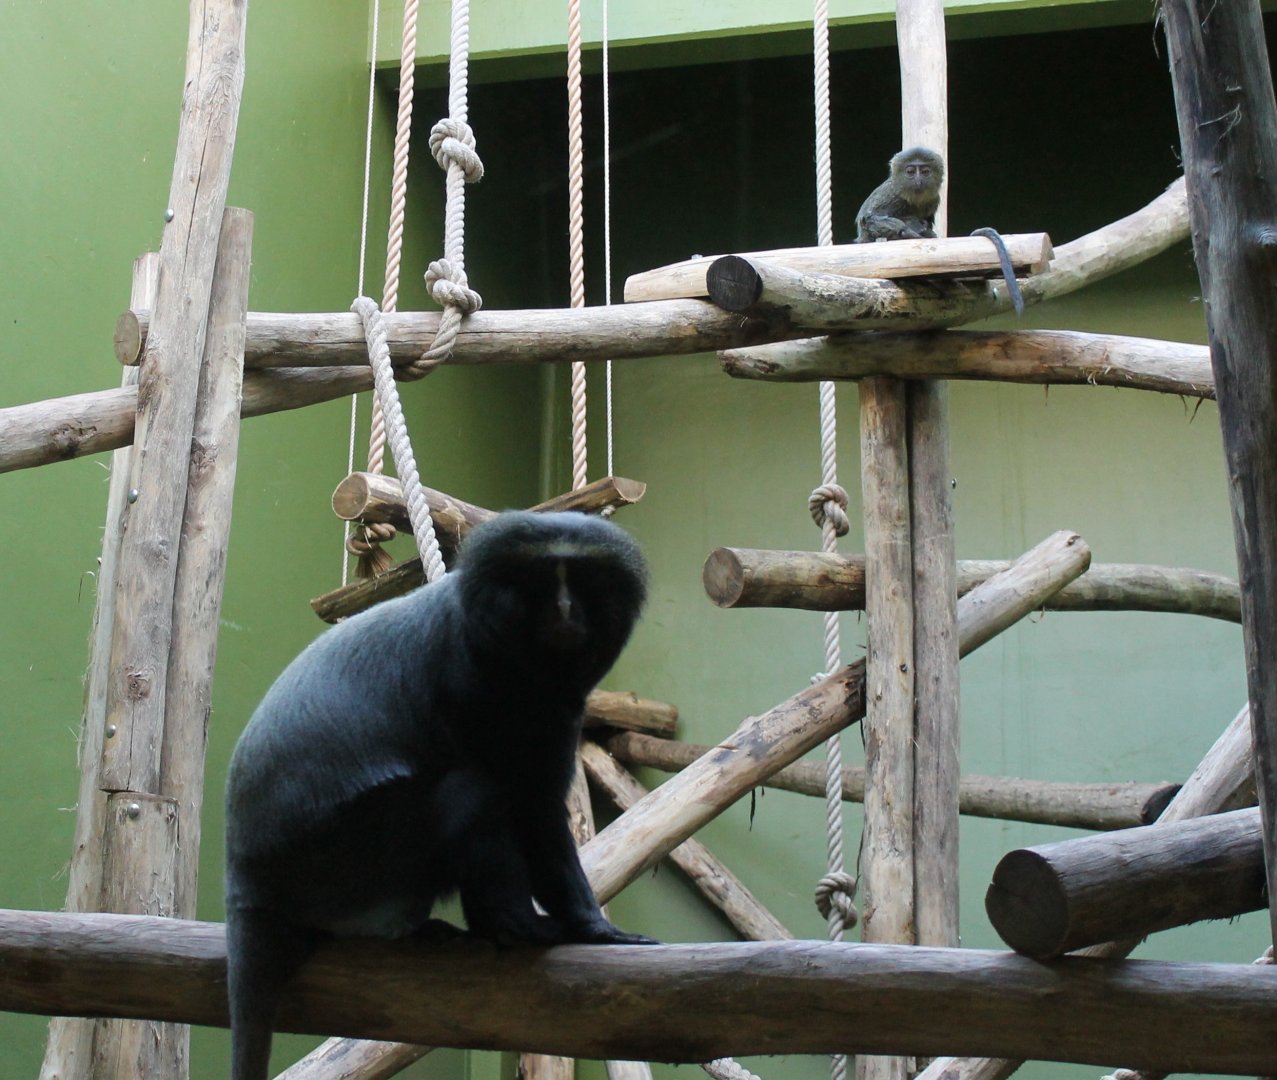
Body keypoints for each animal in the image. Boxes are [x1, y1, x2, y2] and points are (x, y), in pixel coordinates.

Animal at [224, 511, 658, 1080]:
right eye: (542, 580)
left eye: (581, 578)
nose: (565, 608)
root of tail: (248, 884)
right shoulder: (481, 687)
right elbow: (527, 808)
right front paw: (577, 927)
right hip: (345, 865)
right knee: (473, 790)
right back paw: (515, 927)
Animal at [855, 147, 1025, 315]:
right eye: (910, 171)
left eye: (925, 172)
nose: (918, 180)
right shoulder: (890, 196)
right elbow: (869, 219)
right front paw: (909, 232)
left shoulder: (934, 200)